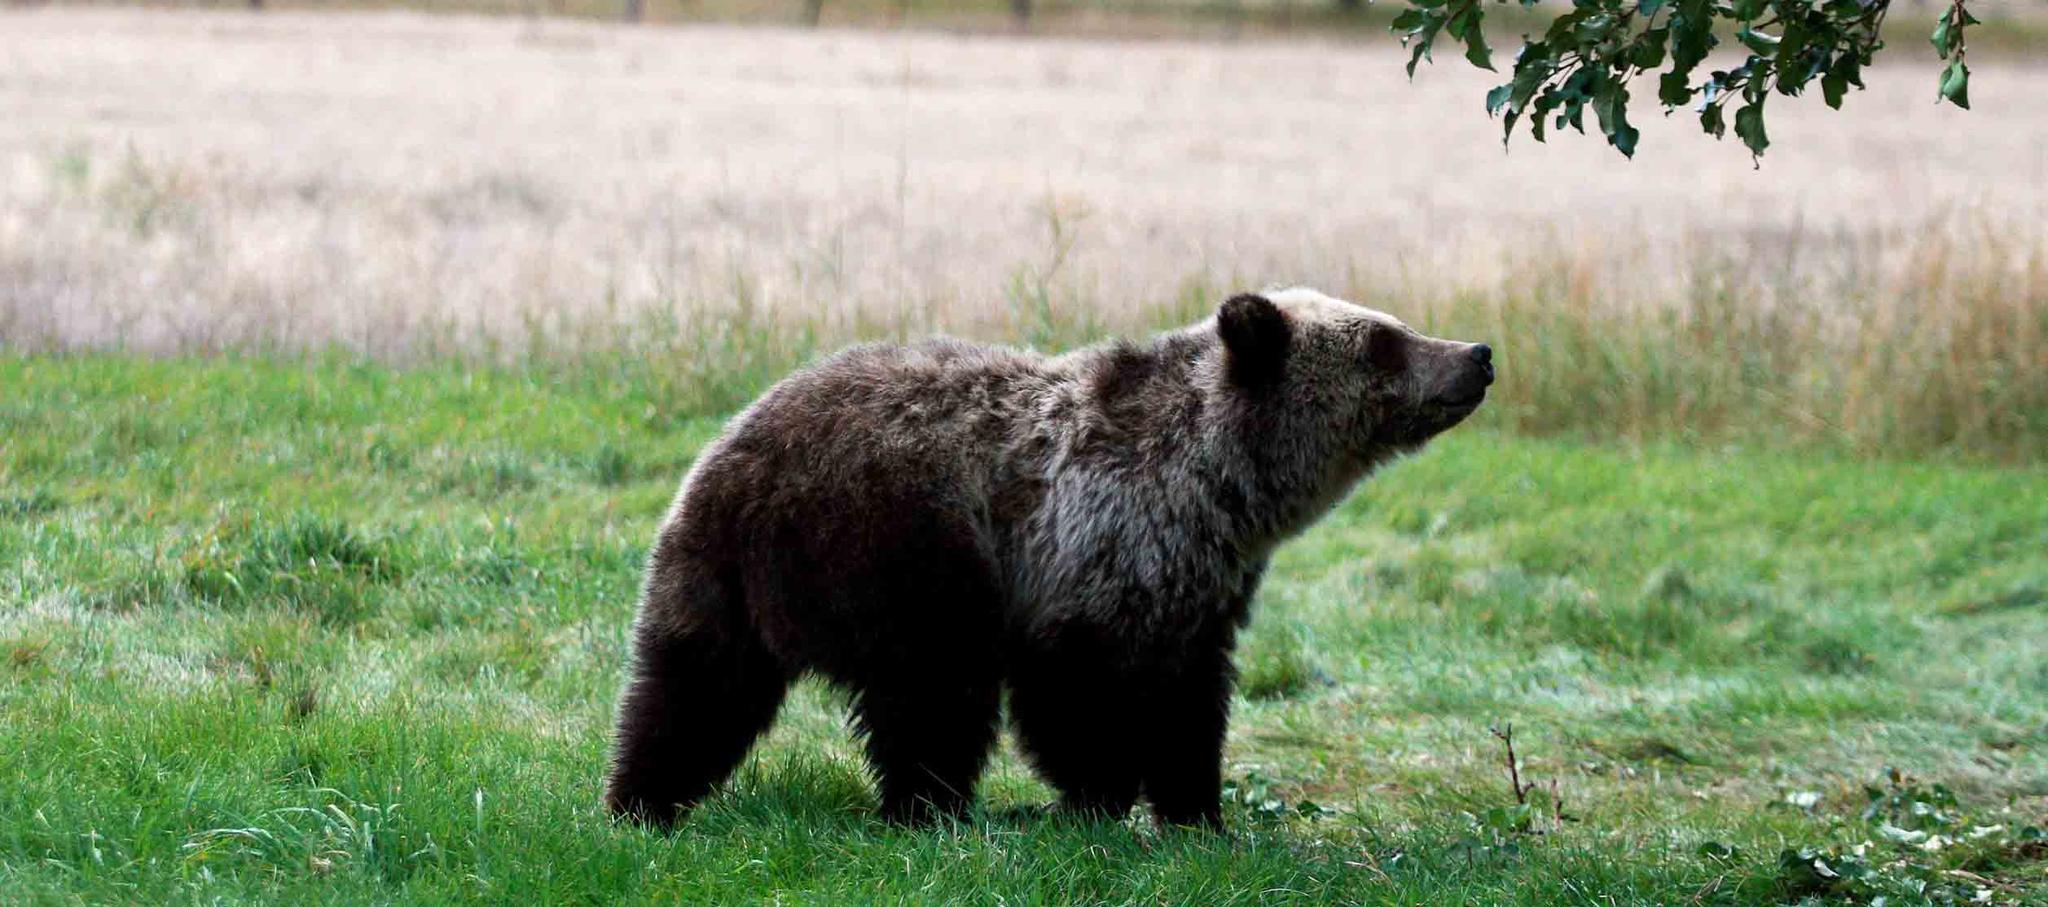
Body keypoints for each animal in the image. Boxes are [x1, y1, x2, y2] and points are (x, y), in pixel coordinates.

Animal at [598, 288, 1499, 831]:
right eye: (1383, 339)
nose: (1479, 353)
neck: (1223, 487)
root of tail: (734, 452)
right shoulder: (1092, 548)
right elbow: (1078, 695)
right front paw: (1098, 797)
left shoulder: (1203, 588)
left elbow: (1190, 704)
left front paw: (1197, 813)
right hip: (901, 543)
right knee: (934, 693)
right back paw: (930, 809)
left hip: (716, 576)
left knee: (691, 688)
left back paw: (642, 798)